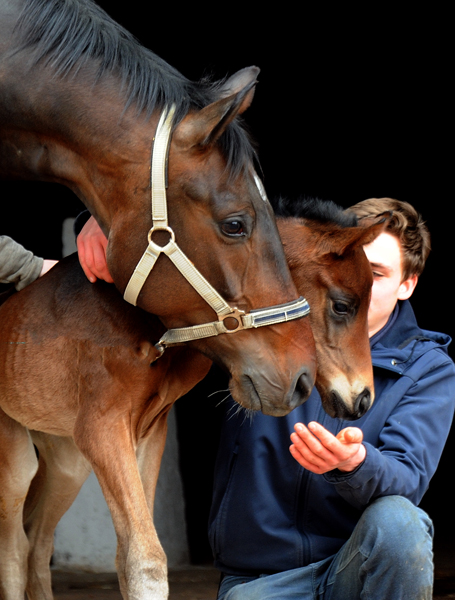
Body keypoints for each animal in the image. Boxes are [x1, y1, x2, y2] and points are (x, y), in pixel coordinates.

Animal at [0, 198, 388, 600]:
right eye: (343, 306)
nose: (362, 399)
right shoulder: (102, 429)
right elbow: (144, 558)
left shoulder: (148, 430)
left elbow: (131, 550)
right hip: (15, 459)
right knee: (14, 549)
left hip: (67, 461)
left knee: (38, 541)